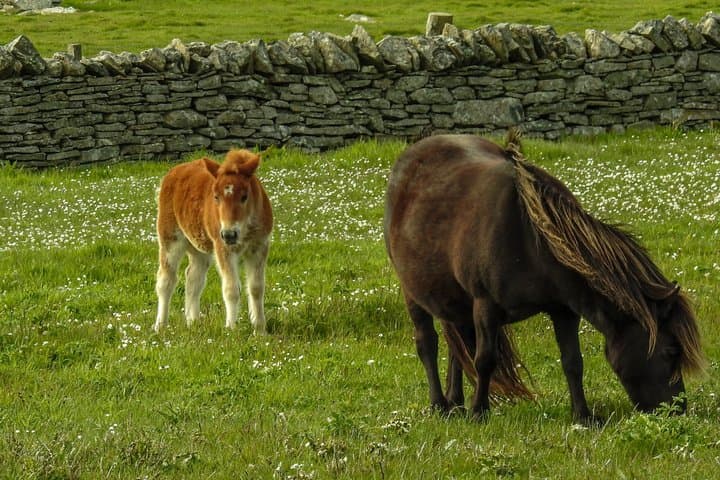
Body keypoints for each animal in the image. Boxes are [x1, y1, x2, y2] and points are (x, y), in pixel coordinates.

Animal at [153, 149, 273, 335]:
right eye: (216, 197)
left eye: (244, 196)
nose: (229, 234)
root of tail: (173, 172)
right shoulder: (223, 247)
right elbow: (231, 289)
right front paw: (231, 329)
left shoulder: (259, 246)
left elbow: (256, 288)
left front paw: (260, 330)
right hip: (170, 238)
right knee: (166, 280)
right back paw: (160, 326)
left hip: (199, 246)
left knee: (193, 278)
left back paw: (193, 322)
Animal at [383, 131, 705, 424]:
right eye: (670, 351)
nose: (677, 411)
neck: (531, 239)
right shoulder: (485, 304)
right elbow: (485, 360)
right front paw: (479, 413)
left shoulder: (563, 310)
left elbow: (573, 362)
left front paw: (583, 416)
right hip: (413, 292)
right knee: (428, 343)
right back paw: (440, 405)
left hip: (453, 300)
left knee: (456, 348)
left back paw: (455, 402)